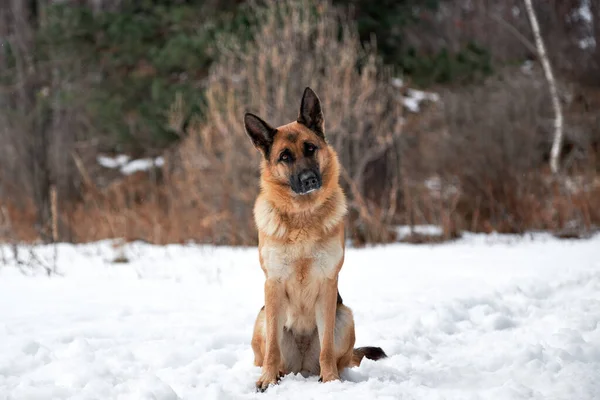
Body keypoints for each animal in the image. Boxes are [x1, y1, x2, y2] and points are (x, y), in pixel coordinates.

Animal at [245, 87, 390, 390]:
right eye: (285, 157)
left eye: (311, 148)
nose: (309, 179)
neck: (303, 217)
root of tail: (301, 367)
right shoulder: (273, 285)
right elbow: (272, 349)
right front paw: (267, 379)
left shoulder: (327, 283)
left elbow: (326, 348)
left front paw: (331, 381)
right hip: (263, 317)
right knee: (270, 352)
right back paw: (275, 373)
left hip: (344, 316)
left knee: (335, 353)